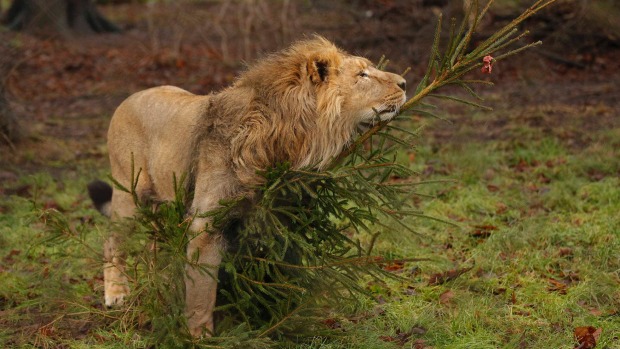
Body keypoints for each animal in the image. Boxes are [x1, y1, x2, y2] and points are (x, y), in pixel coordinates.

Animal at [88, 36, 406, 338]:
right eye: (362, 74)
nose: (404, 83)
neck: (289, 138)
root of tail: (130, 97)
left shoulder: (279, 218)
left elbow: (278, 274)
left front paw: (281, 319)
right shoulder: (206, 224)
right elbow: (202, 292)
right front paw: (201, 336)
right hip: (128, 195)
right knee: (111, 242)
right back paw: (117, 295)